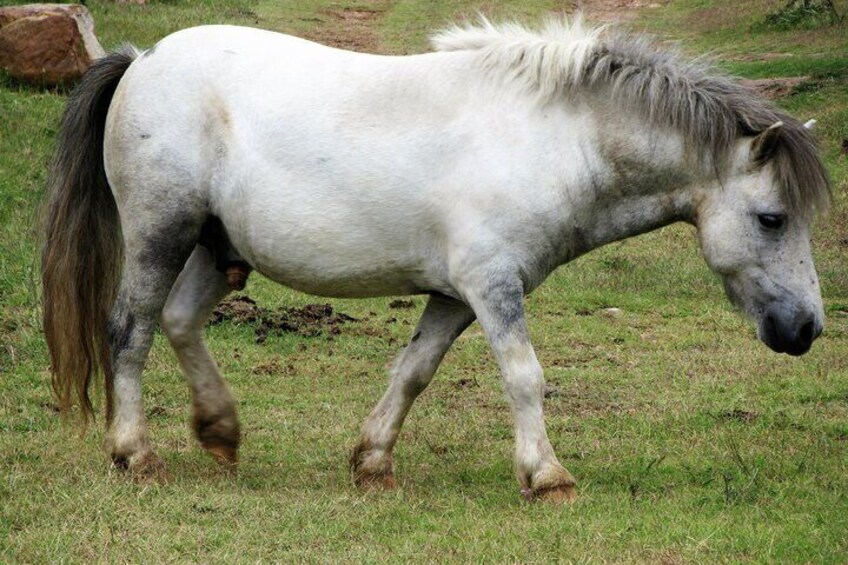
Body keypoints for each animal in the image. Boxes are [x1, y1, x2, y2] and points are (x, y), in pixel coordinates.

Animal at [41, 18, 828, 502]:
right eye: (772, 218)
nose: (807, 329)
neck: (548, 138)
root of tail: (142, 60)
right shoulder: (493, 285)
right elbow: (523, 375)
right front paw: (547, 477)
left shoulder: (456, 295)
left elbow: (413, 371)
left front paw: (373, 463)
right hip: (161, 233)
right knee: (130, 331)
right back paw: (135, 453)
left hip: (215, 246)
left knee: (177, 322)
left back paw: (220, 430)